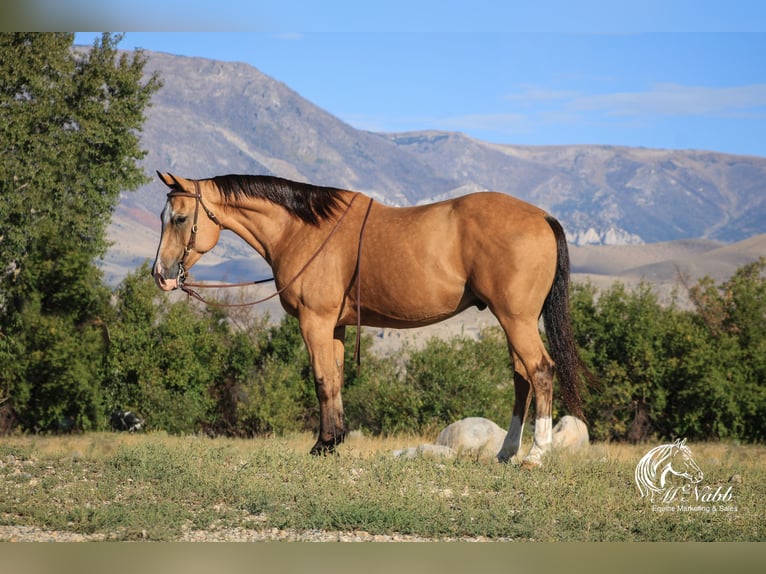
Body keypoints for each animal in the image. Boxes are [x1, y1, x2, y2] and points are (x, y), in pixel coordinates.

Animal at [150, 172, 592, 468]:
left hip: (516, 319)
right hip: (515, 321)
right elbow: (336, 378)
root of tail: (542, 217)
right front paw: (333, 441)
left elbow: (322, 380)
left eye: (179, 218)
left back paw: (535, 455)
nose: (161, 274)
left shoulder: (315, 322)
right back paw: (505, 453)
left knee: (540, 370)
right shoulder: (336, 326)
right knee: (522, 377)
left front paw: (322, 446)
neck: (304, 230)